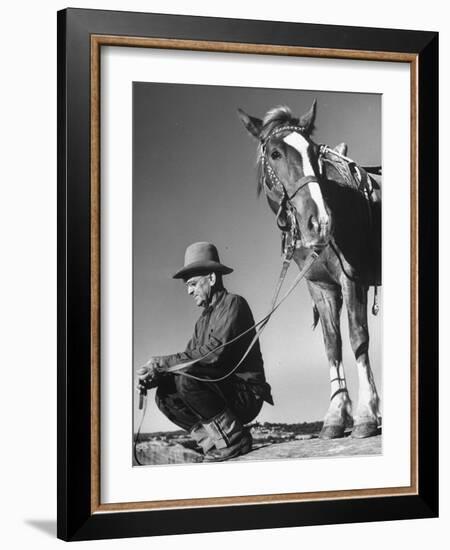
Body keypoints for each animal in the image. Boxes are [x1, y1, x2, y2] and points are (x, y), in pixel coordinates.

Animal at [237, 100, 382, 440]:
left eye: (314, 151)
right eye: (275, 153)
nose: (321, 222)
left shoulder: (352, 279)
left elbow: (358, 338)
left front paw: (366, 414)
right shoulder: (321, 288)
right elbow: (332, 344)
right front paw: (336, 416)